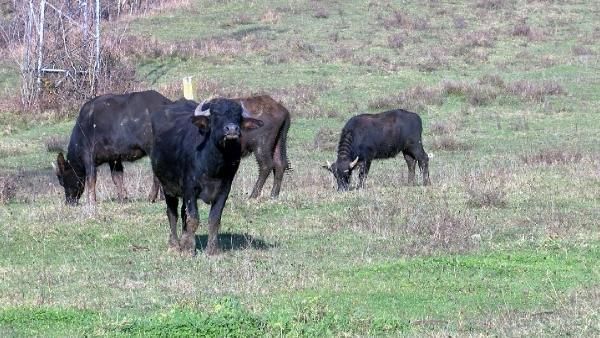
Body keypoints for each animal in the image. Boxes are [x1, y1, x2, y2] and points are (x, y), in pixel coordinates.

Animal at [150, 96, 262, 255]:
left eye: (238, 116)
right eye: (216, 115)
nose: (232, 129)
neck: (213, 166)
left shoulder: (224, 190)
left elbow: (214, 219)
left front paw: (212, 250)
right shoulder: (190, 189)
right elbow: (193, 219)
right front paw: (188, 249)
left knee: (183, 214)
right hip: (167, 187)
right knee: (172, 214)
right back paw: (174, 245)